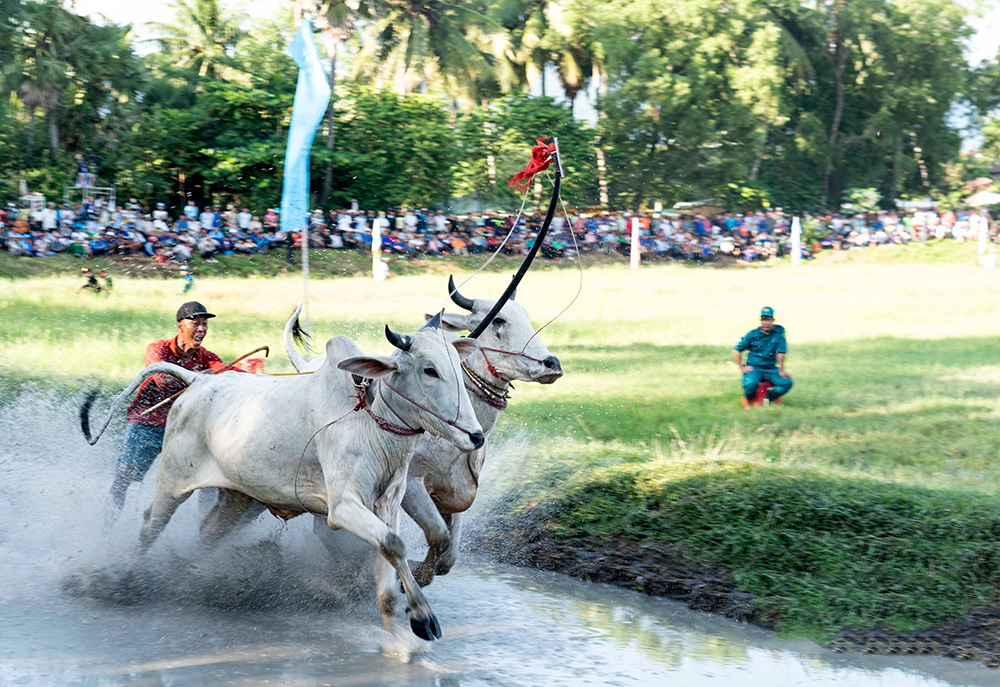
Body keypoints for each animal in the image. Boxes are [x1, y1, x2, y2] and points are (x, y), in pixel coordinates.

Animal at [82, 318, 480, 640]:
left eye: (457, 366)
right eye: (430, 370)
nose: (476, 436)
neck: (370, 420)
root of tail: (197, 383)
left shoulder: (387, 504)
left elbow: (389, 556)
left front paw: (413, 622)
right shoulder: (343, 506)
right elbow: (394, 545)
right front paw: (420, 617)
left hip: (237, 496)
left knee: (208, 532)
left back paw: (195, 580)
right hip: (172, 481)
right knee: (151, 524)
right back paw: (125, 580)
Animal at [286, 282, 564, 588]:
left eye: (525, 314)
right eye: (498, 320)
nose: (551, 364)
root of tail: (307, 366)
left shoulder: (455, 494)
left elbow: (450, 554)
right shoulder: (412, 484)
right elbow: (438, 534)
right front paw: (416, 574)